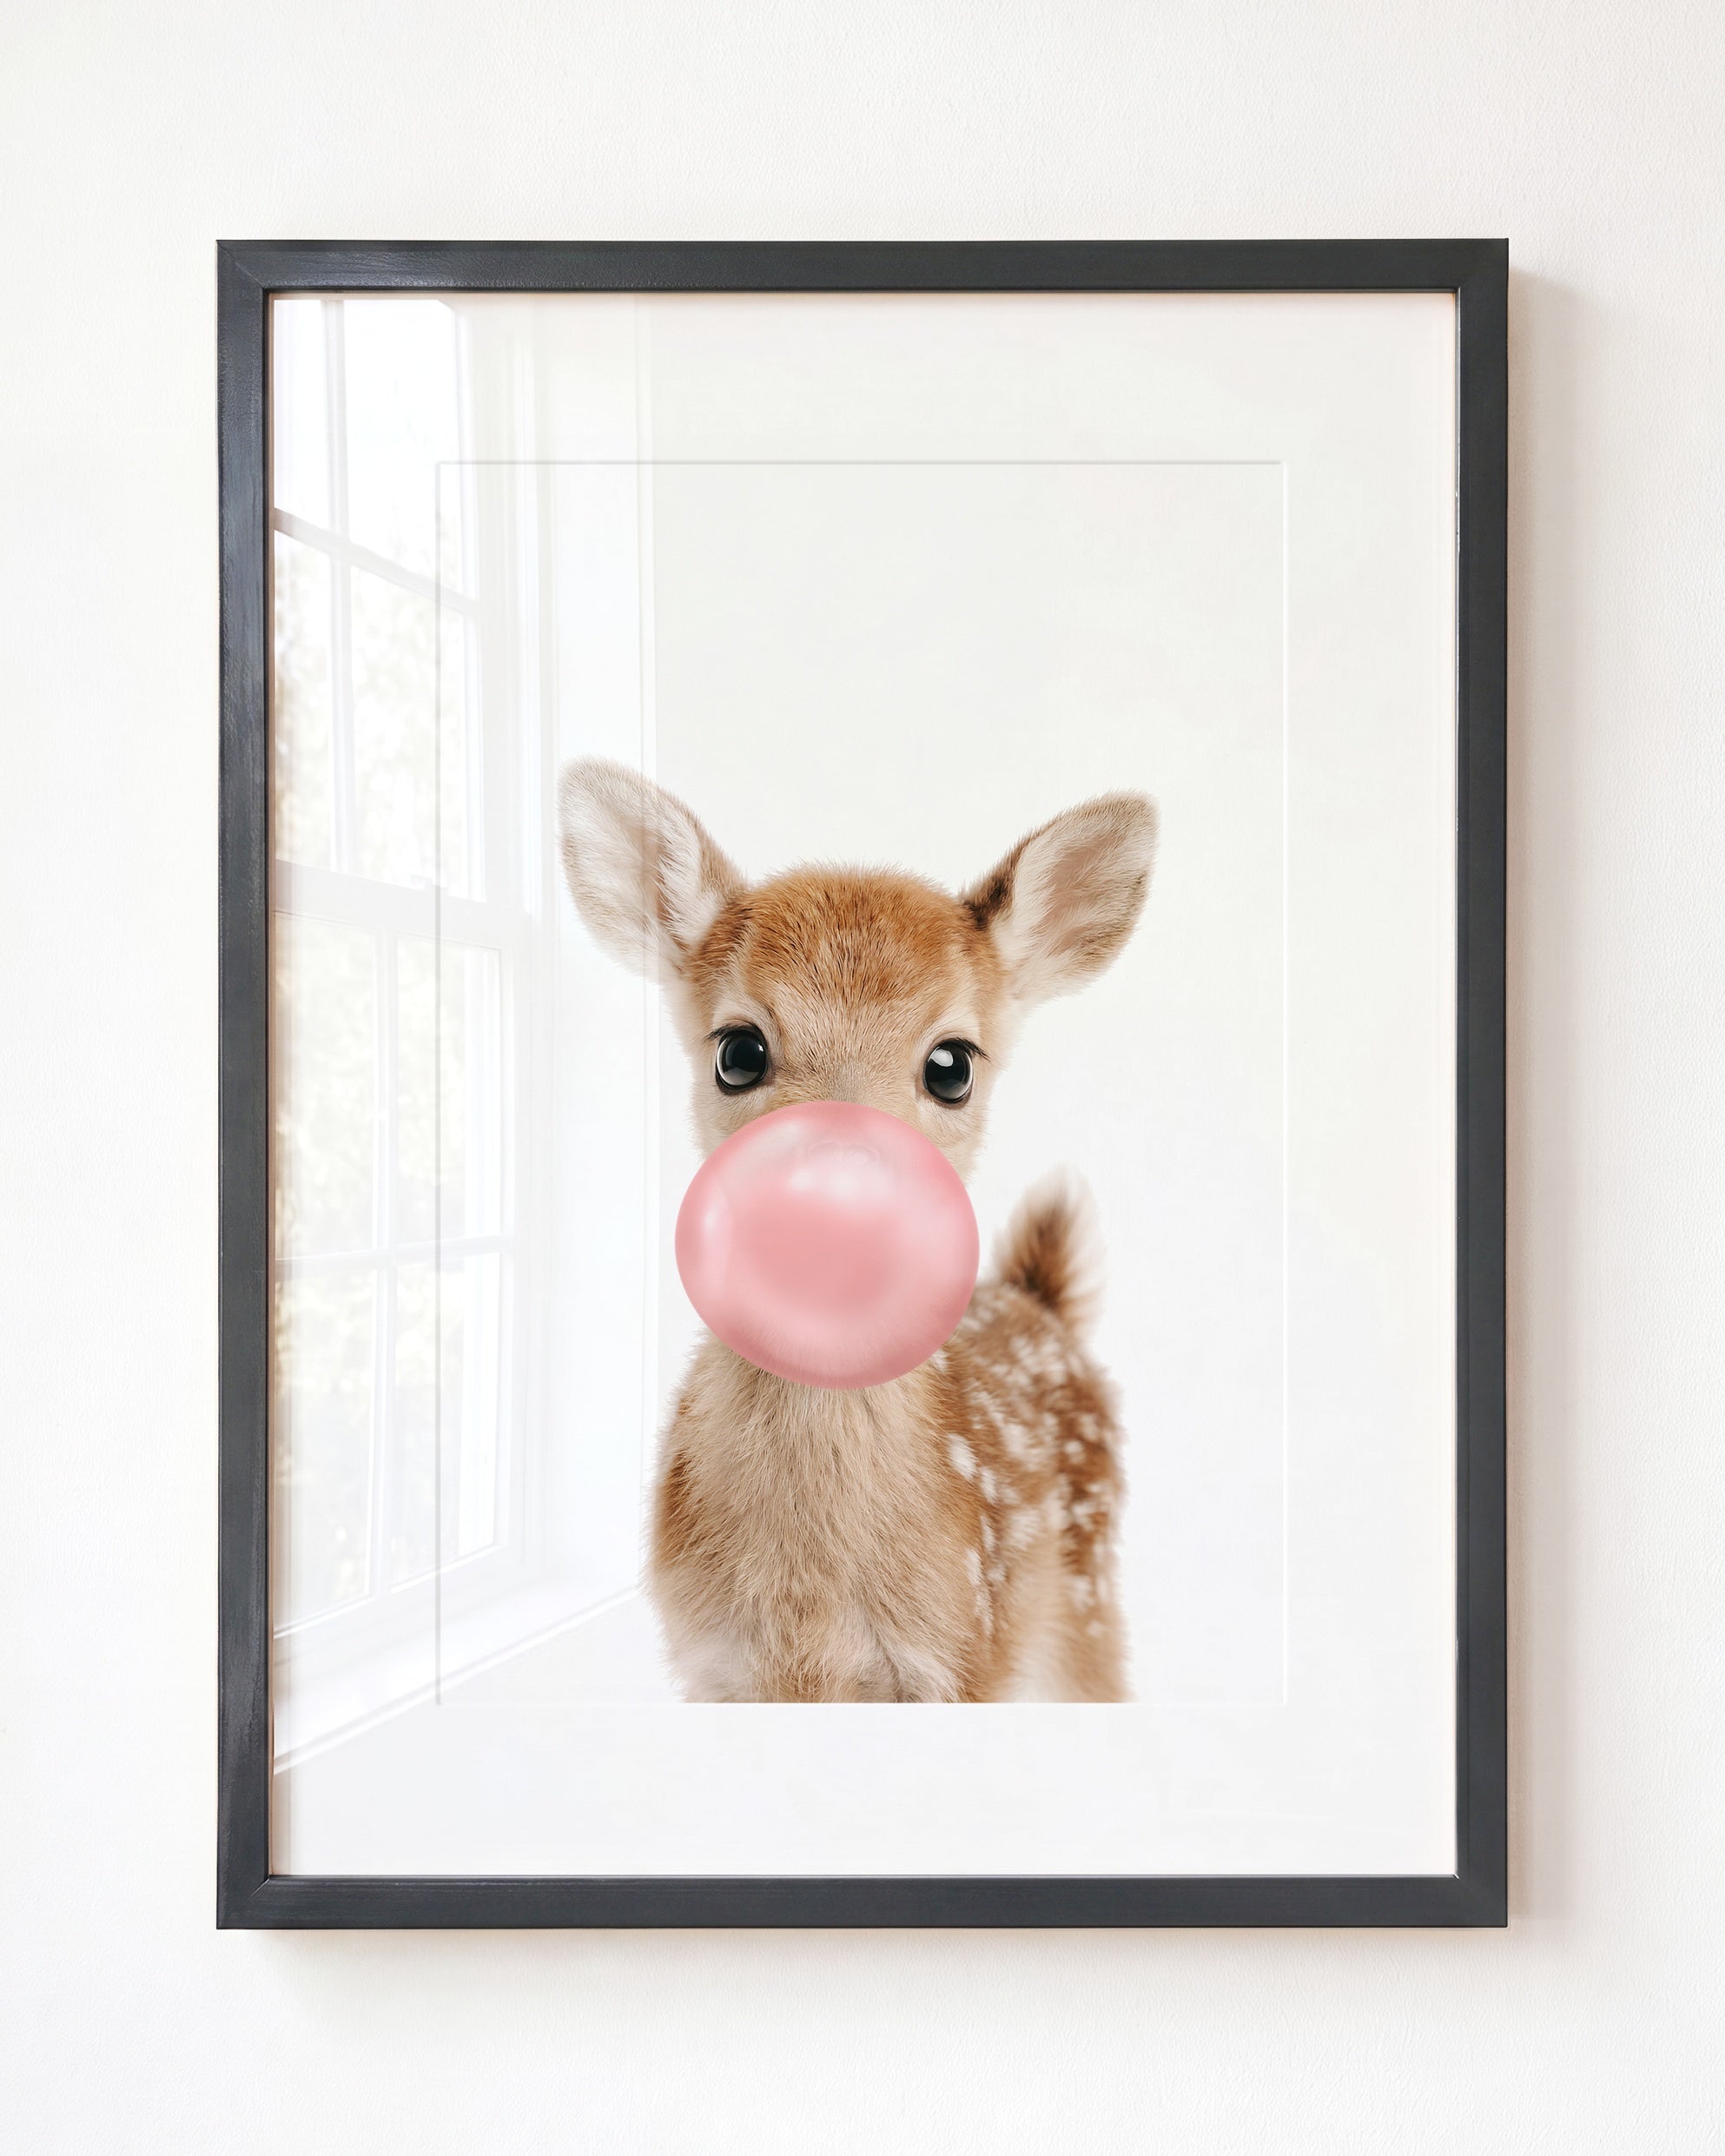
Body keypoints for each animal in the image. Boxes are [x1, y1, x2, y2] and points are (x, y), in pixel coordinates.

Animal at [558, 759, 1157, 1702]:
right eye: (737, 1051)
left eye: (952, 1065)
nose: (840, 1190)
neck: (811, 1613)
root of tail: (1042, 1301)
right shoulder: (712, 1666)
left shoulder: (962, 1655)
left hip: (1085, 1606)